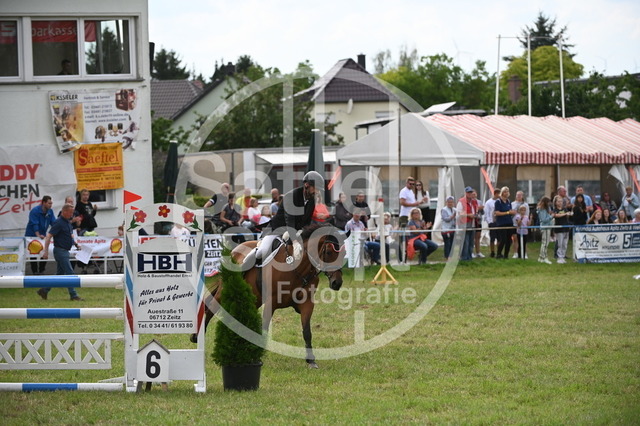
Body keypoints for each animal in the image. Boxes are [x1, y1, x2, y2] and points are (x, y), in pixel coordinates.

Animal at [192, 223, 345, 368]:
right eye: (329, 252)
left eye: (344, 254)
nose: (337, 283)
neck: (297, 268)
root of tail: (235, 250)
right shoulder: (271, 302)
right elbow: (264, 329)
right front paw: (256, 356)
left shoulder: (307, 303)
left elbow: (307, 331)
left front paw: (311, 360)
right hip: (225, 291)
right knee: (211, 308)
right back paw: (197, 338)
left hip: (254, 299)